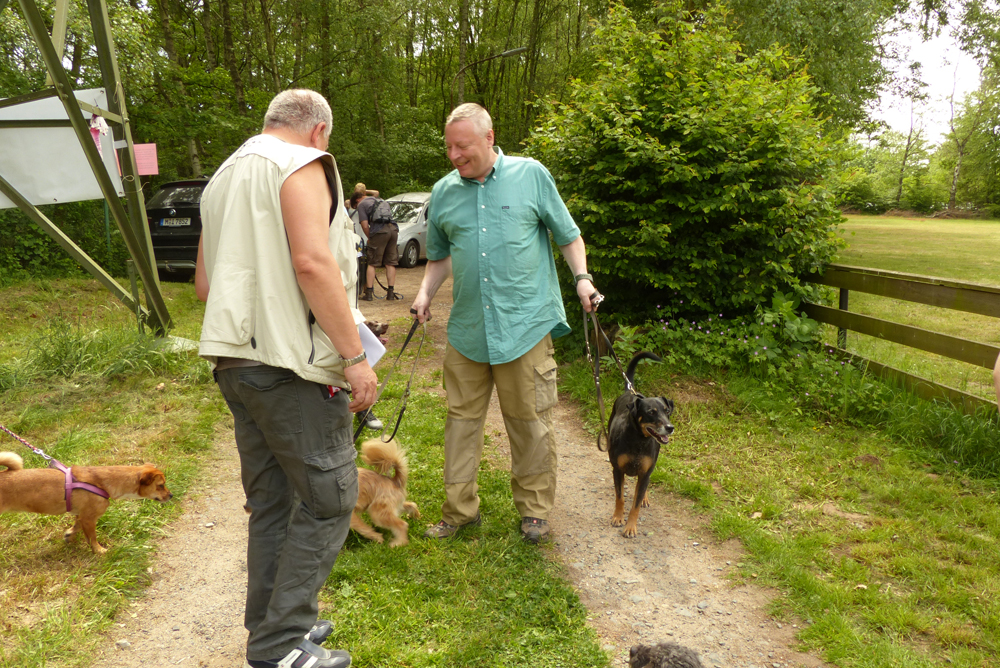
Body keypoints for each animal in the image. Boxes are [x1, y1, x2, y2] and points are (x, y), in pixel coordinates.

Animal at [0, 452, 172, 554]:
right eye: (160, 485)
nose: (171, 495)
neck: (105, 482)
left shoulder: (81, 514)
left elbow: (77, 526)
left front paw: (69, 535)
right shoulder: (90, 518)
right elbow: (93, 537)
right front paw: (99, 550)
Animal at [607, 351, 674, 538]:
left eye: (667, 411)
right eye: (651, 412)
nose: (670, 427)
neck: (638, 441)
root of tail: (632, 393)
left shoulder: (645, 472)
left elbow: (635, 505)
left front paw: (630, 527)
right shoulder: (618, 470)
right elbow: (620, 497)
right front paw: (617, 517)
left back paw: (644, 497)